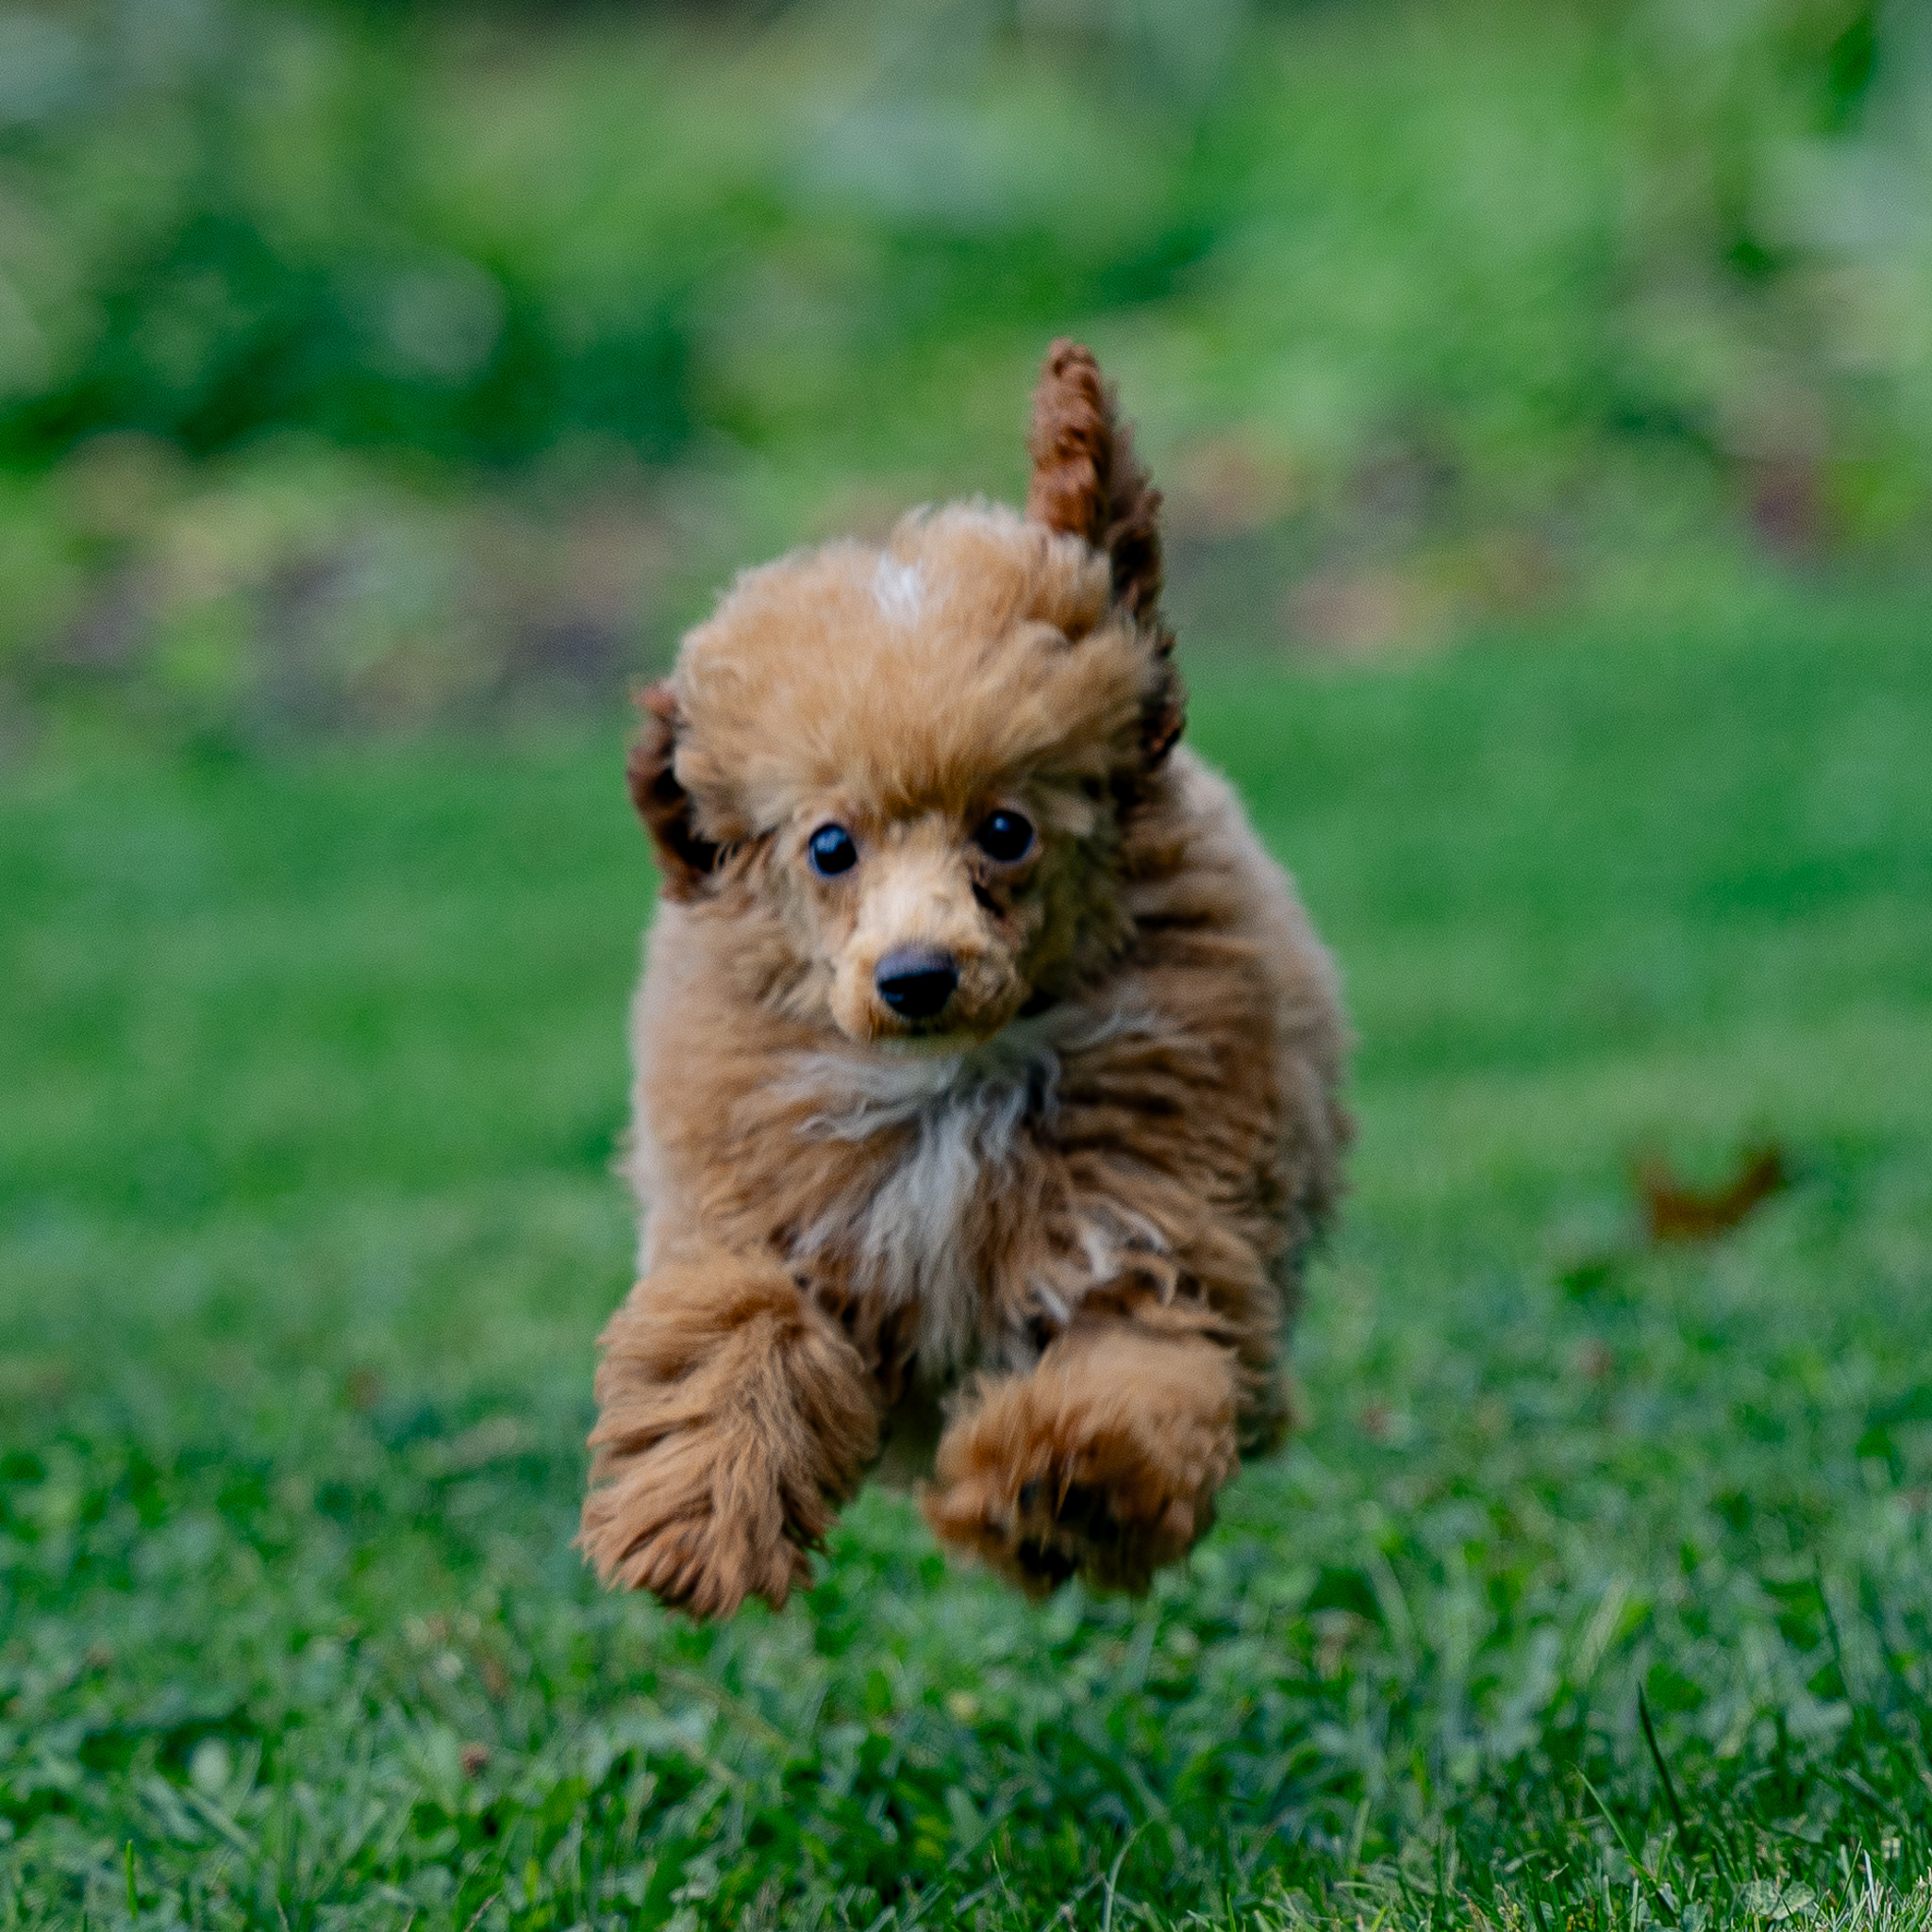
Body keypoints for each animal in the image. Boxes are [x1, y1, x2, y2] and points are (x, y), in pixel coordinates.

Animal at [579, 336, 1352, 1615]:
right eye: (828, 846)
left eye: (1004, 829)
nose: (915, 976)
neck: (949, 1079)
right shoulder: (761, 1208)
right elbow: (739, 1326)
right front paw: (698, 1514)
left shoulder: (1147, 1231)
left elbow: (1137, 1365)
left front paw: (1061, 1486)